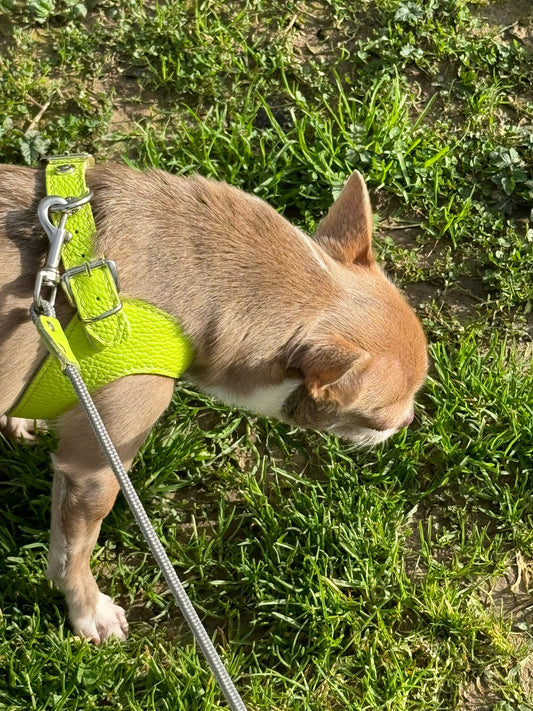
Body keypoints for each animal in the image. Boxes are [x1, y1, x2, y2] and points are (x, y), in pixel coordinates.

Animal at [0, 164, 426, 644]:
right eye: (378, 420)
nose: (410, 420)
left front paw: (19, 418)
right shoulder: (93, 469)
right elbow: (73, 550)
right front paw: (88, 609)